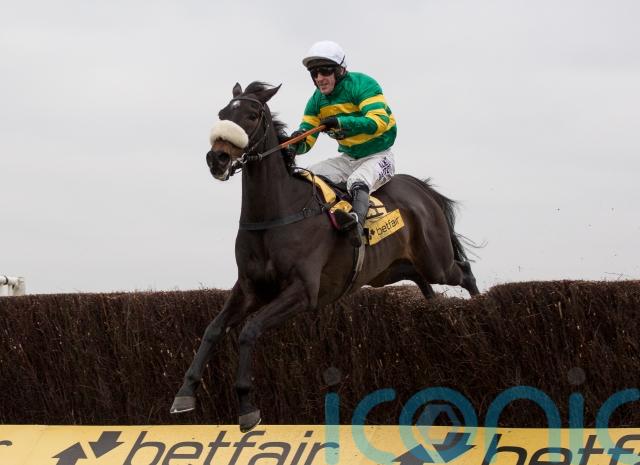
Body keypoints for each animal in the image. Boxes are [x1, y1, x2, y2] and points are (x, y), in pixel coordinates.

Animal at [171, 81, 480, 432]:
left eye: (251, 115)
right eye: (222, 113)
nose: (217, 158)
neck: (276, 213)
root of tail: (420, 189)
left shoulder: (303, 292)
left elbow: (249, 331)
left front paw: (247, 405)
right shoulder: (249, 287)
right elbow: (213, 329)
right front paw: (184, 393)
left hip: (435, 259)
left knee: (464, 272)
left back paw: (479, 307)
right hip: (388, 271)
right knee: (420, 279)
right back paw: (432, 306)